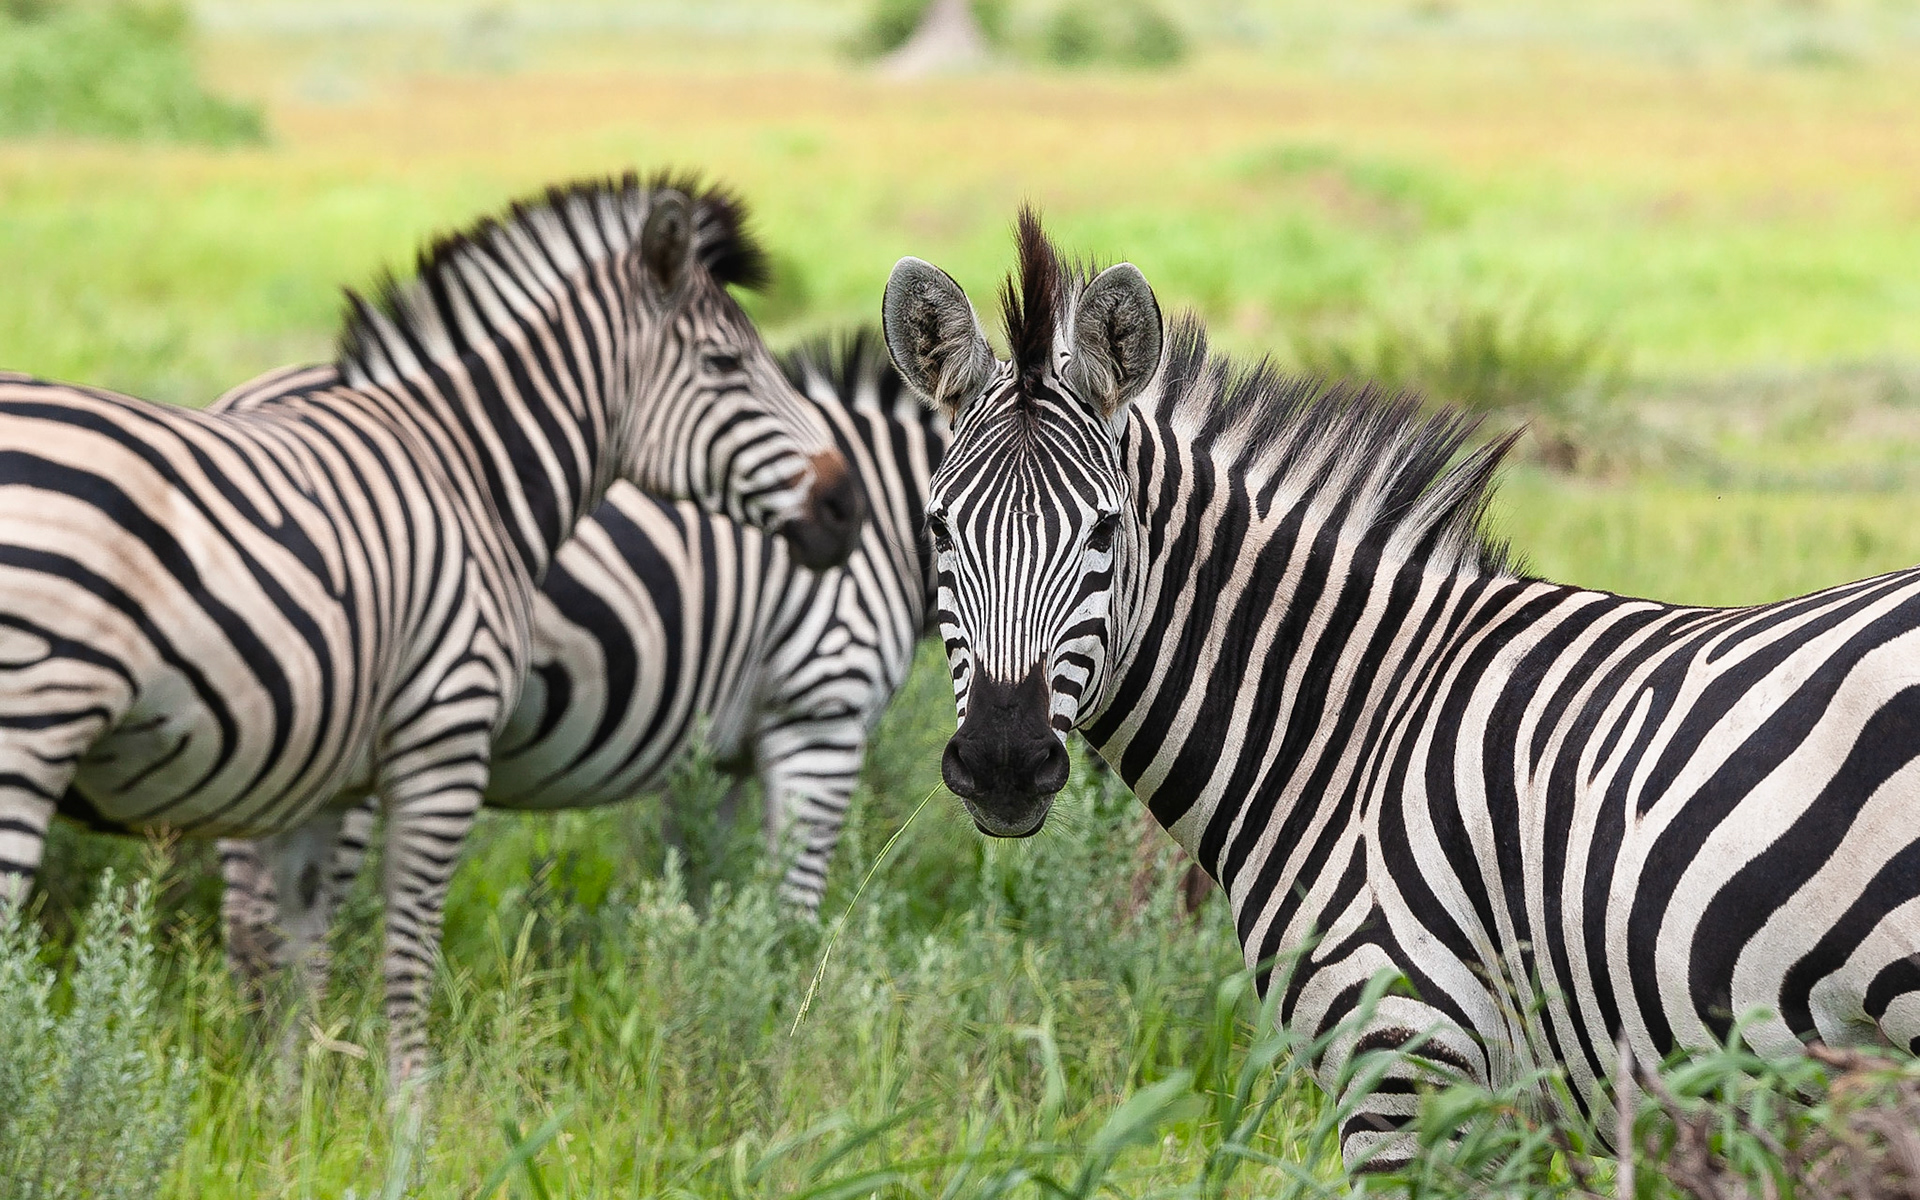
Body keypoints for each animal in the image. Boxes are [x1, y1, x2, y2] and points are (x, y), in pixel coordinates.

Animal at [0, 170, 864, 1075]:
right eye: (725, 363)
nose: (848, 507)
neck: (470, 473)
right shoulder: (444, 741)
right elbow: (406, 954)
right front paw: (408, 1105)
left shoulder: (319, 776)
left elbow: (296, 958)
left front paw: (287, 1105)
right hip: (31, 732)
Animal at [220, 324, 940, 956]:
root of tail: (237, 400)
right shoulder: (820, 714)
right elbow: (793, 911)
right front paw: (785, 1005)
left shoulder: (717, 755)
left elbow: (701, 883)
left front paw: (693, 983)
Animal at [883, 210, 1920, 1175]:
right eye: (936, 527)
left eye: (1104, 530)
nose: (1004, 764)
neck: (1352, 725)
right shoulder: (1492, 1109)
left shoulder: (1401, 1069)